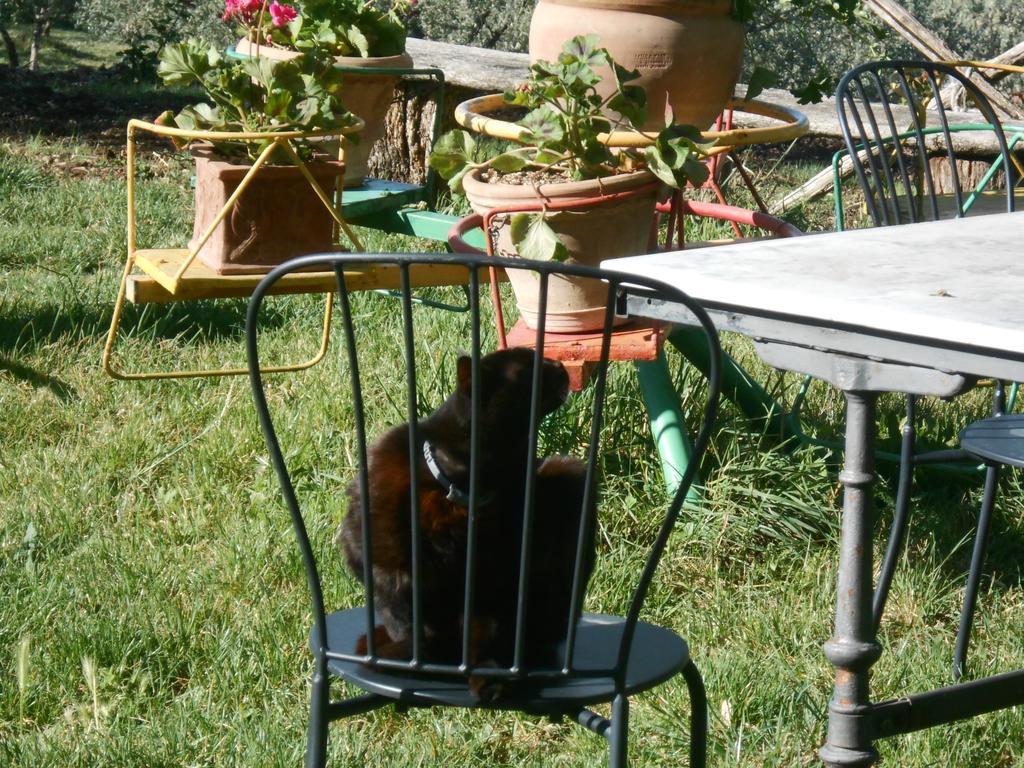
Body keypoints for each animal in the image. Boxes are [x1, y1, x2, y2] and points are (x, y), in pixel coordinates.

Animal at [337, 348, 593, 671]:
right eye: (529, 366)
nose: (560, 365)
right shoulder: (379, 560)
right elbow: (402, 621)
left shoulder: (493, 573)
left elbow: (485, 626)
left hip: (569, 478)